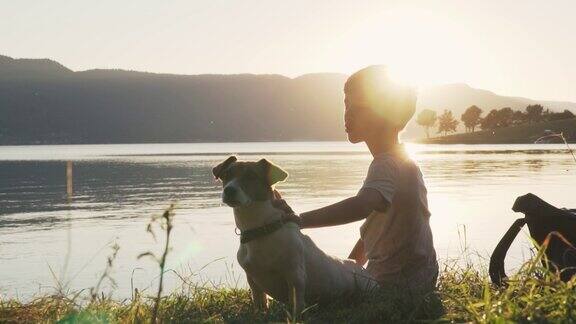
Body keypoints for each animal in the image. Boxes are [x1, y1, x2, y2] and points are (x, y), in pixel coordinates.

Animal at [212, 156, 378, 316]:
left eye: (252, 176)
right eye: (226, 175)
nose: (229, 190)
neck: (261, 230)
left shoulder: (295, 276)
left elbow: (297, 304)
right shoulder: (253, 281)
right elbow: (260, 304)